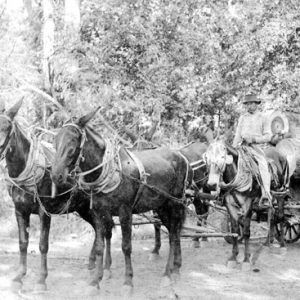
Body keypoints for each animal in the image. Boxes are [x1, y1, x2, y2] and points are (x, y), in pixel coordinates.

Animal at [0, 99, 102, 292]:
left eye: (6, 127)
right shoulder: (19, 211)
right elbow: (23, 243)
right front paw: (19, 277)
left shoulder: (44, 212)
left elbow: (42, 245)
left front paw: (41, 280)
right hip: (84, 209)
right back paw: (95, 265)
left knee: (104, 230)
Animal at [51, 108, 192, 296]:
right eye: (56, 141)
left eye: (73, 143)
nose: (56, 175)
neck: (108, 170)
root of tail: (181, 156)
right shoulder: (99, 212)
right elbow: (99, 246)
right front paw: (95, 282)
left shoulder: (125, 212)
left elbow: (126, 247)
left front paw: (128, 282)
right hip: (161, 206)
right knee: (173, 232)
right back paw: (176, 268)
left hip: (175, 203)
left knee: (174, 235)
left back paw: (168, 274)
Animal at [204, 141, 288, 270]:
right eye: (207, 158)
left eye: (222, 157)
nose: (211, 185)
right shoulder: (230, 206)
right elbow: (235, 230)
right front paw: (233, 258)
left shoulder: (248, 205)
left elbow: (247, 232)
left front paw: (246, 260)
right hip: (270, 197)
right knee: (272, 217)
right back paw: (268, 242)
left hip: (280, 193)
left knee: (280, 216)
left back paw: (282, 245)